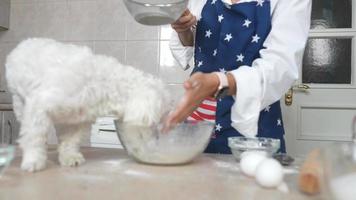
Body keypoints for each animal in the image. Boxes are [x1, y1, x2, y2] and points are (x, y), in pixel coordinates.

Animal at [5, 38, 170, 172]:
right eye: (160, 115)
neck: (101, 83)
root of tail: (23, 44)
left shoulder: (76, 121)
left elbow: (70, 141)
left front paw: (70, 157)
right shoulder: (39, 106)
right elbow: (34, 137)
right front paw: (33, 161)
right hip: (20, 102)